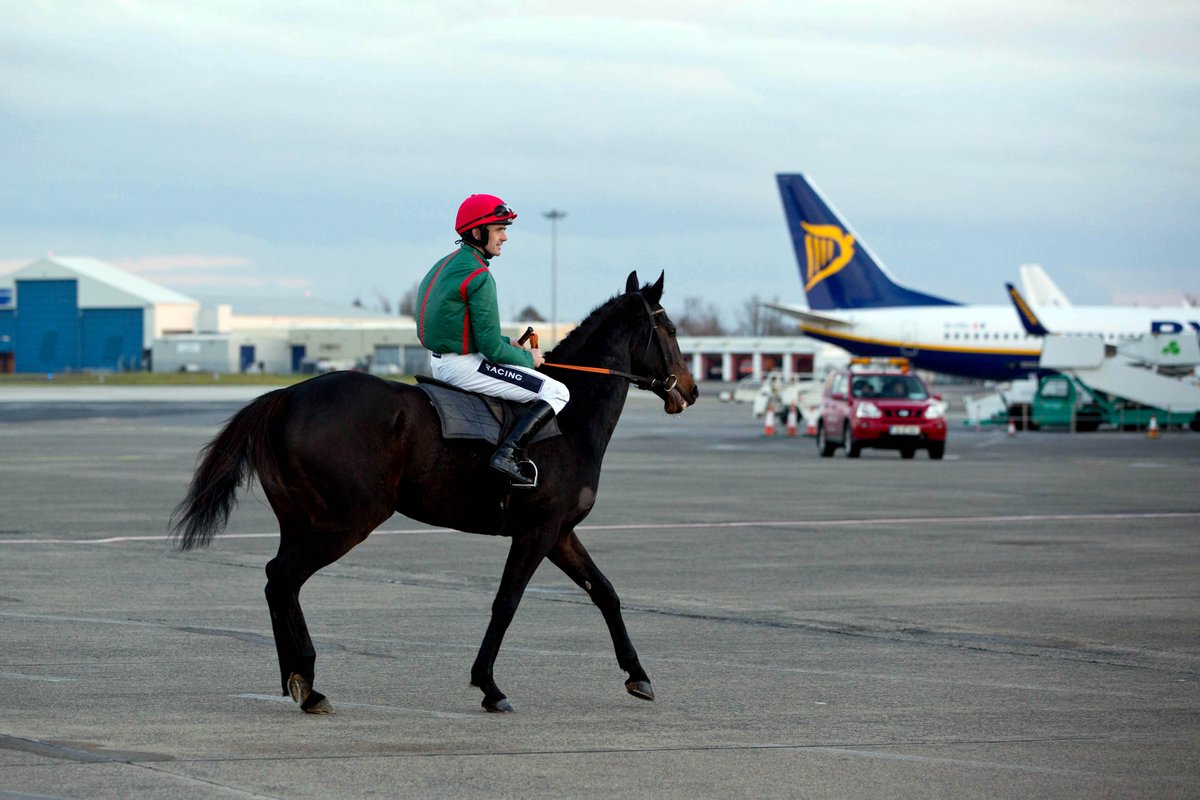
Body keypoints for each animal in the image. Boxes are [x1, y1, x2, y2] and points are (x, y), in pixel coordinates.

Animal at [165, 272, 700, 714]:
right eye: (671, 329)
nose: (691, 390)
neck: (568, 422)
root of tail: (290, 394)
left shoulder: (560, 533)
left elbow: (605, 593)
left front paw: (638, 676)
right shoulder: (538, 531)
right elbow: (507, 602)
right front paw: (489, 686)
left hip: (303, 521)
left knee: (279, 582)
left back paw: (299, 679)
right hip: (345, 522)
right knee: (283, 578)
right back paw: (308, 682)